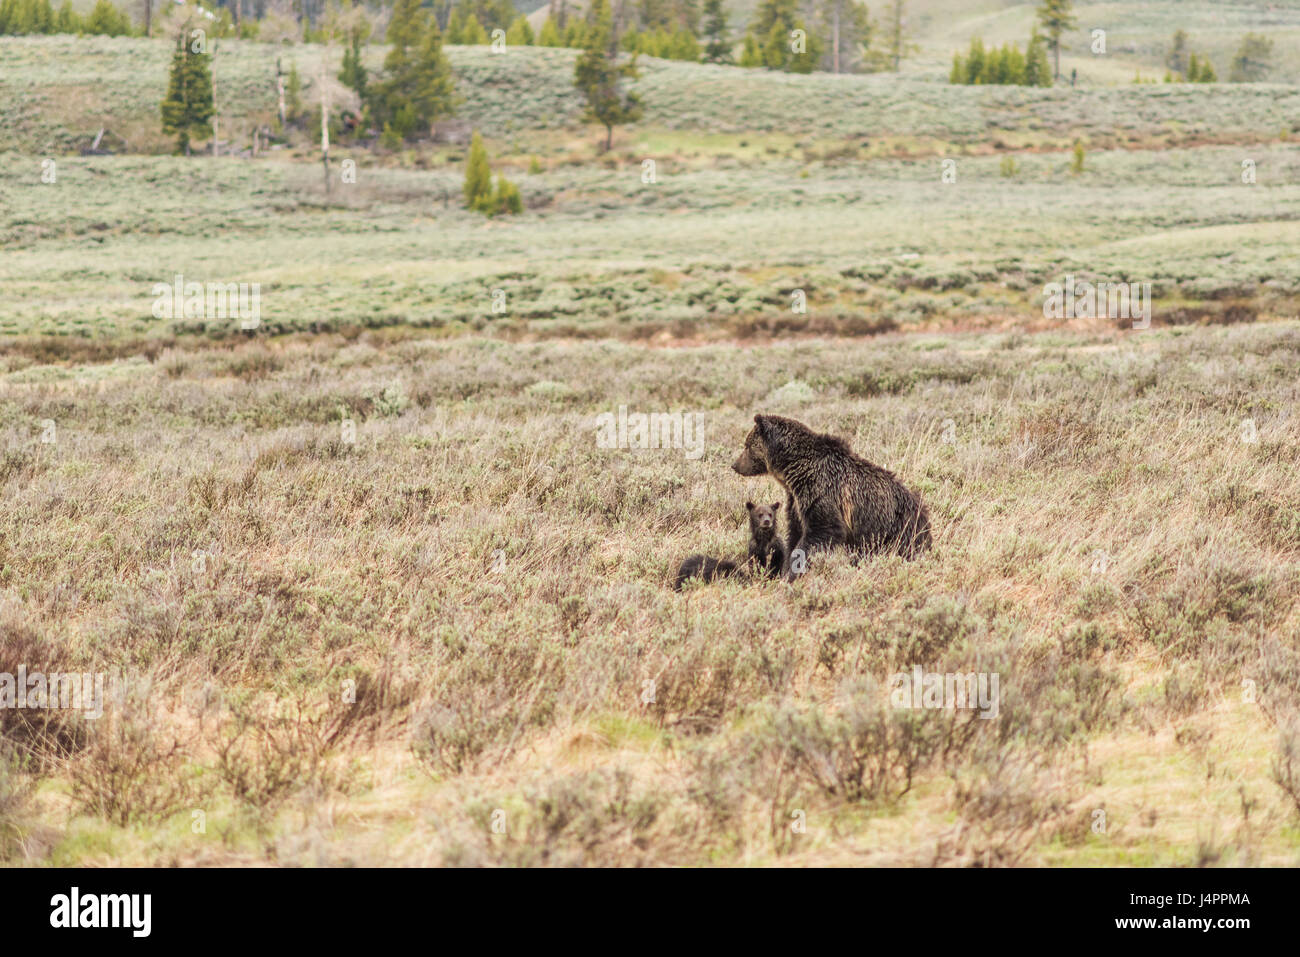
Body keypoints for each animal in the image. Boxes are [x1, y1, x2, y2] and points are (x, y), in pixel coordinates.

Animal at [731, 414, 931, 577]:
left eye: (747, 446)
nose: (735, 465)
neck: (795, 470)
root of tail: (922, 509)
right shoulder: (796, 500)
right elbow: (795, 532)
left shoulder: (820, 491)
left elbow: (822, 530)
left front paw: (794, 571)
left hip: (894, 528)